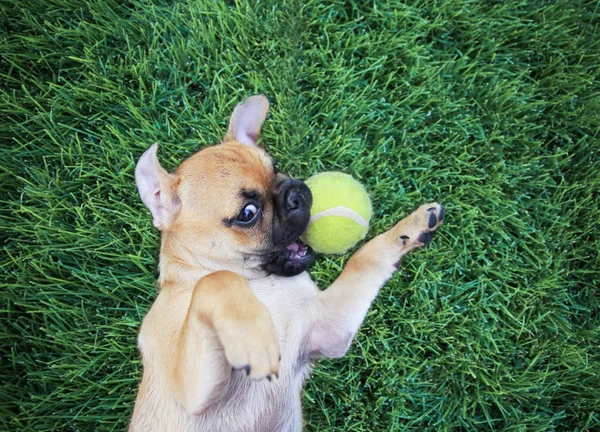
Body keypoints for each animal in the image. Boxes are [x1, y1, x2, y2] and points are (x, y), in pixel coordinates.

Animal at [129, 95, 442, 432]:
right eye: (248, 213)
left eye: (276, 167)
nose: (295, 193)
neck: (258, 282)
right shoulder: (189, 391)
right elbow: (217, 281)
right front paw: (252, 334)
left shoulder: (329, 326)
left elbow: (366, 258)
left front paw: (410, 227)